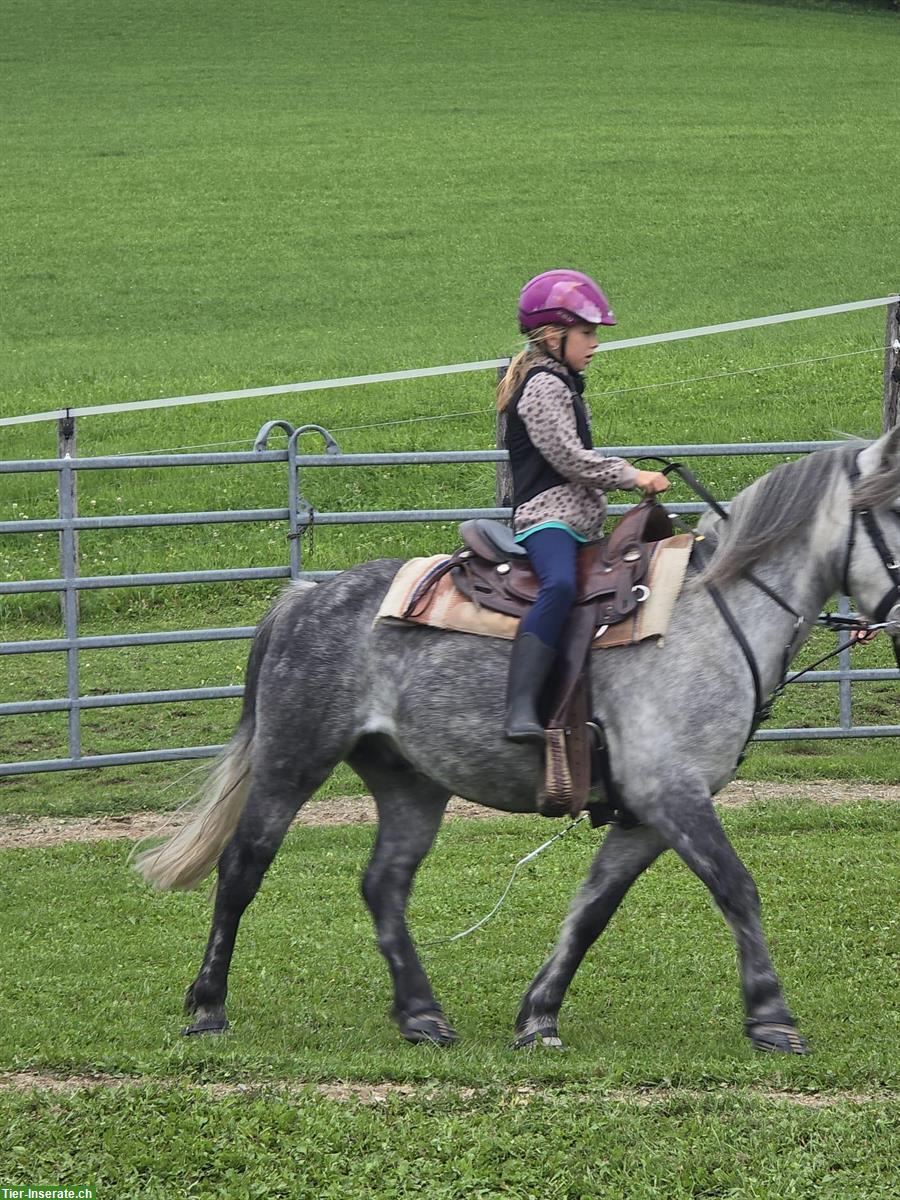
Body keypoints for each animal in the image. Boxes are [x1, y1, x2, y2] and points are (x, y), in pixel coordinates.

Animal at [134, 426, 900, 1054]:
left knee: (383, 885)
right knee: (242, 867)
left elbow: (592, 908)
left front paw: (539, 1015)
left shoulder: (646, 815)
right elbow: (736, 888)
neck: (712, 614)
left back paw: (422, 1014)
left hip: (410, 783)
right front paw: (772, 1016)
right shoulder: (672, 794)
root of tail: (305, 596)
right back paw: (208, 1007)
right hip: (293, 760)